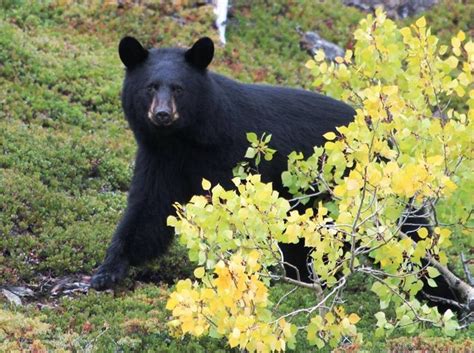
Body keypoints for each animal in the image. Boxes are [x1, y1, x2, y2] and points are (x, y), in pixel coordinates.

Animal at [90, 35, 356, 290]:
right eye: (150, 87)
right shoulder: (158, 158)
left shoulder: (230, 156)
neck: (183, 139)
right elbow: (148, 211)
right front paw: (106, 271)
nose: (162, 114)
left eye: (178, 89)